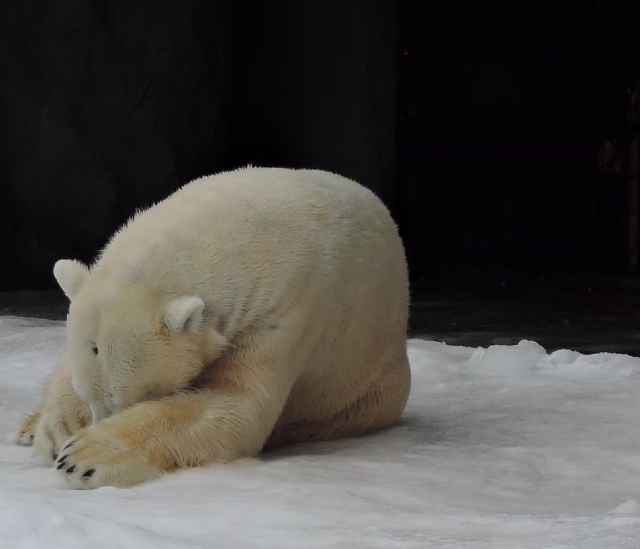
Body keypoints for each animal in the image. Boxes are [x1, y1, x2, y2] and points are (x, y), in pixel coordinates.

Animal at [12, 165, 410, 486]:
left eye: (129, 400)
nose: (96, 420)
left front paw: (84, 455)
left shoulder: (288, 307)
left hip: (365, 391)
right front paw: (56, 429)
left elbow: (235, 405)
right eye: (90, 396)